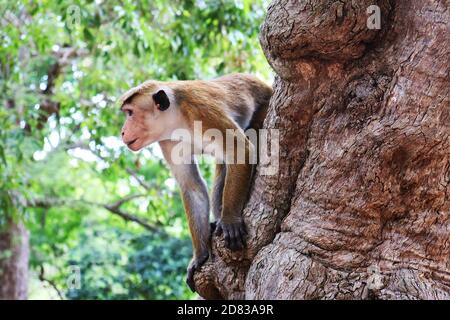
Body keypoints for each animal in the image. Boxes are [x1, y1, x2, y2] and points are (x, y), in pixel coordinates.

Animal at [118, 73, 270, 292]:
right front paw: (200, 256)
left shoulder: (202, 111)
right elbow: (192, 186)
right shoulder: (168, 141)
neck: (177, 118)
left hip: (265, 107)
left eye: (130, 113)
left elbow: (240, 151)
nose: (122, 132)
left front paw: (230, 220)